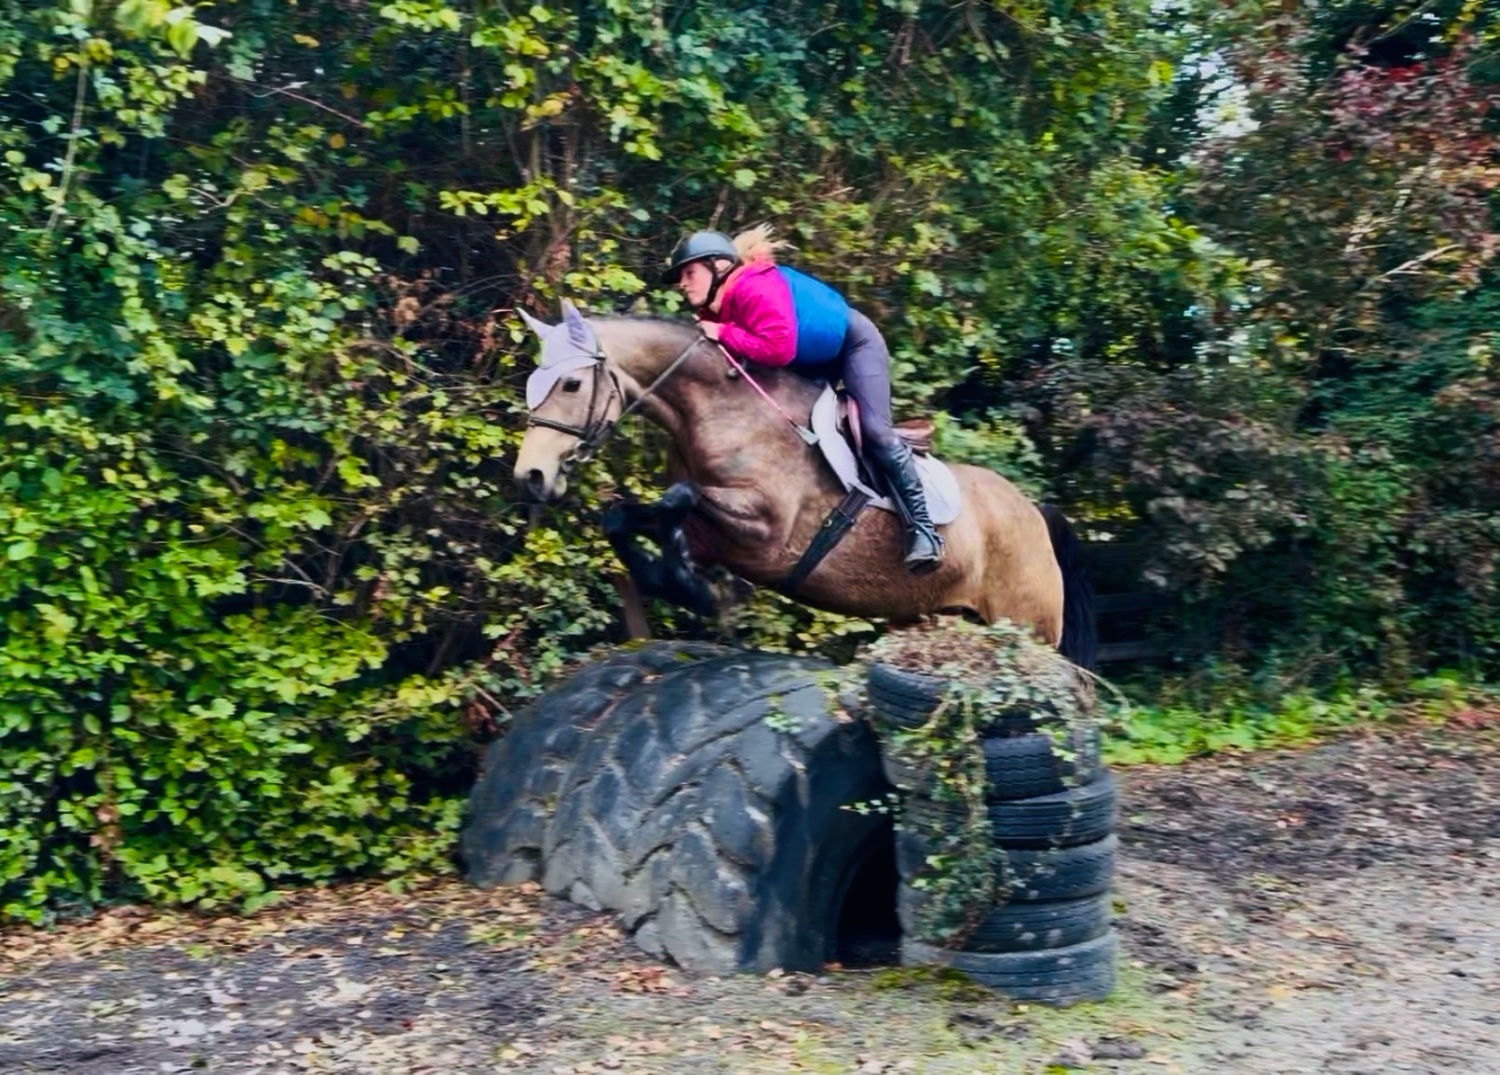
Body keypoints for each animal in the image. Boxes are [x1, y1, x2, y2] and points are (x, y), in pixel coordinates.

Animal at [513, 303, 1096, 669]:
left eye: (571, 384)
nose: (530, 476)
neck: (718, 411)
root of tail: (1035, 512)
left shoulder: (767, 530)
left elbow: (679, 500)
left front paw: (700, 589)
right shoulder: (713, 534)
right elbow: (629, 515)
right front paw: (684, 583)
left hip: (1027, 628)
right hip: (939, 618)